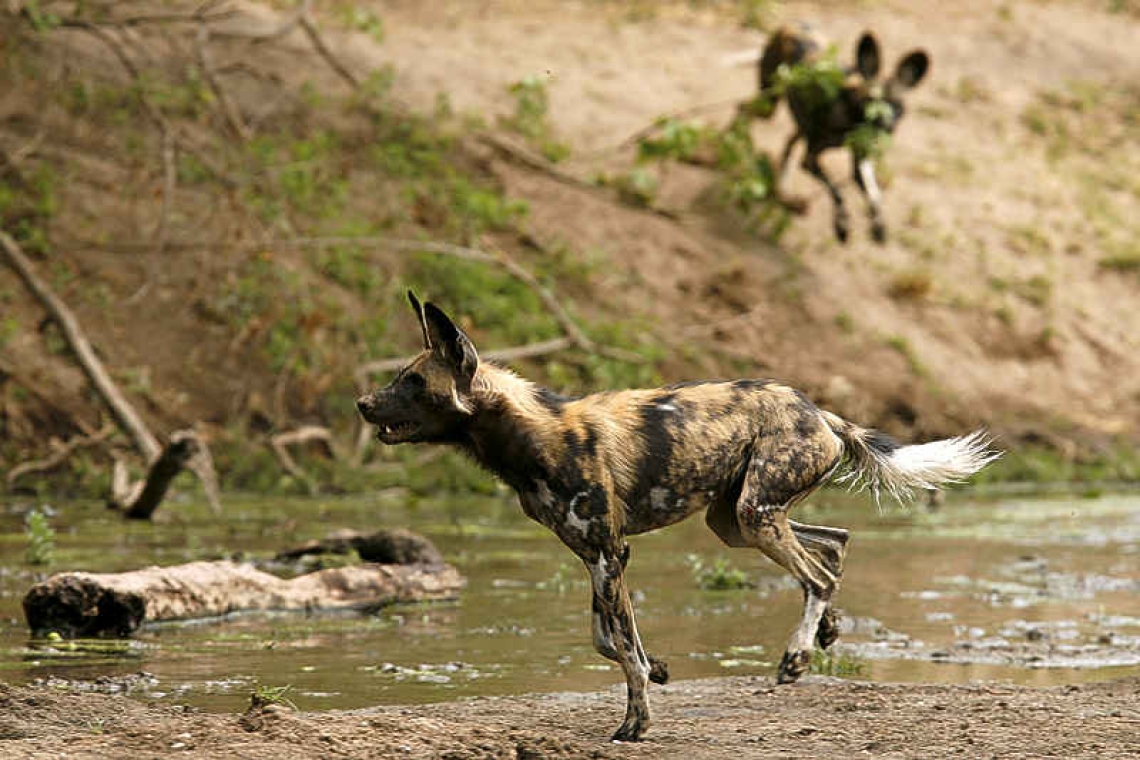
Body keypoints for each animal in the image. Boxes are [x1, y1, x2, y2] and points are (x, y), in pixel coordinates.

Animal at [355, 293, 998, 742]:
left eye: (413, 381)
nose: (361, 403)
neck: (527, 437)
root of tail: (821, 411)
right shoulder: (598, 556)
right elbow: (608, 640)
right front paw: (660, 667)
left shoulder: (607, 554)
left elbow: (623, 653)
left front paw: (634, 724)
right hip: (735, 523)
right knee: (832, 546)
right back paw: (824, 635)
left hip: (754, 515)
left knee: (815, 574)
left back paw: (796, 657)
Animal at [743, 24, 930, 243]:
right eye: (871, 102)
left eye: (898, 107)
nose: (888, 127)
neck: (850, 115)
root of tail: (788, 27)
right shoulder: (810, 161)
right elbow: (837, 191)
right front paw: (842, 225)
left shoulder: (860, 161)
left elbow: (874, 194)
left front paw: (878, 225)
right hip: (768, 106)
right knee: (742, 109)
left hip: (796, 124)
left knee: (788, 143)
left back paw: (784, 195)